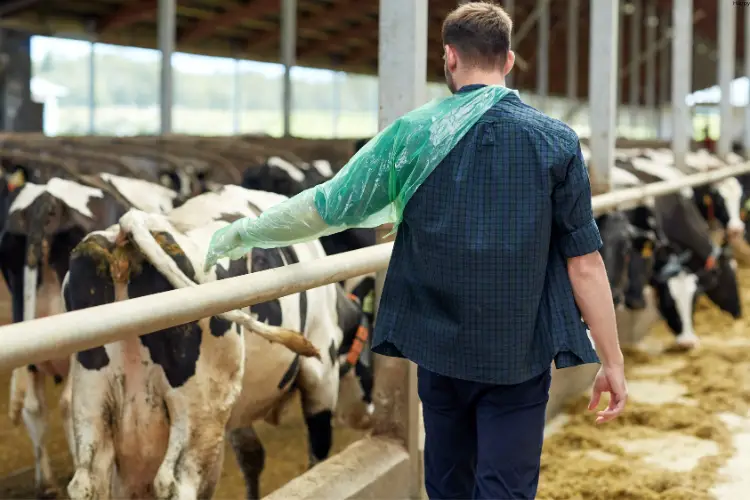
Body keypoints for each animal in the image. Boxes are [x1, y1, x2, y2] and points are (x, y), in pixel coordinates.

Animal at [61, 187, 376, 500]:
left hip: (93, 402)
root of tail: (132, 224)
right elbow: (317, 456)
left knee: (88, 480)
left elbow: (251, 455)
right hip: (200, 410)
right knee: (178, 483)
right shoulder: (321, 375)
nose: (367, 417)